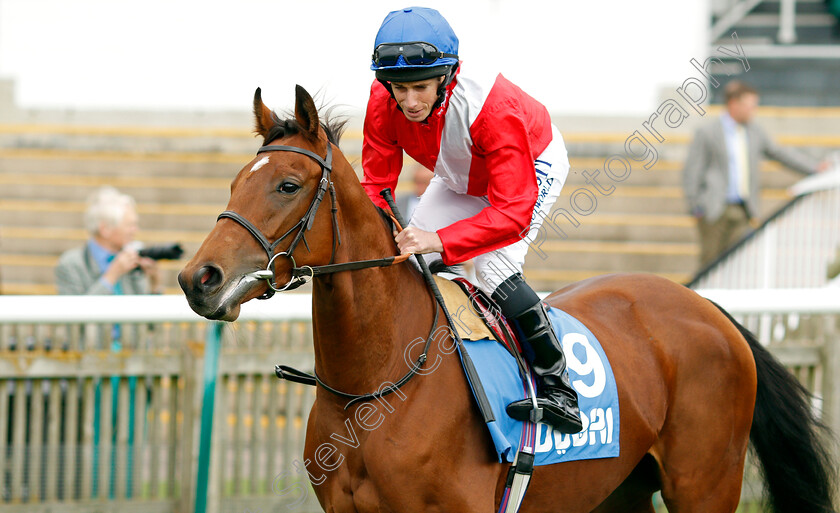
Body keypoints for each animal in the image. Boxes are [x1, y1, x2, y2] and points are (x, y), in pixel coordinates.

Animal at [179, 86, 832, 510]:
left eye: (288, 185)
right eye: (235, 183)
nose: (197, 278)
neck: (379, 380)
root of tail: (710, 310)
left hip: (705, 482)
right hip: (619, 490)